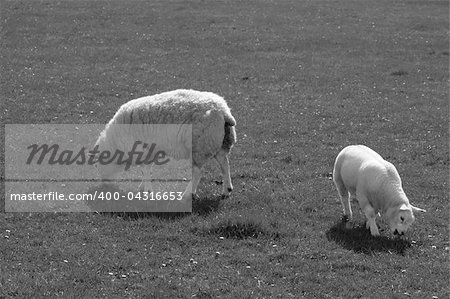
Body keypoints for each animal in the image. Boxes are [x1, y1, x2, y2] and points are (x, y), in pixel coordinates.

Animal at [92, 89, 237, 202]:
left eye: (98, 165)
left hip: (199, 145)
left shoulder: (142, 150)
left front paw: (147, 191)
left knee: (197, 172)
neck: (116, 141)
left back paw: (187, 194)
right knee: (225, 164)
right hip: (219, 142)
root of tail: (223, 111)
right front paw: (142, 188)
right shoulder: (150, 151)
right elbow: (147, 169)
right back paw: (226, 190)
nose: (104, 183)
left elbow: (145, 170)